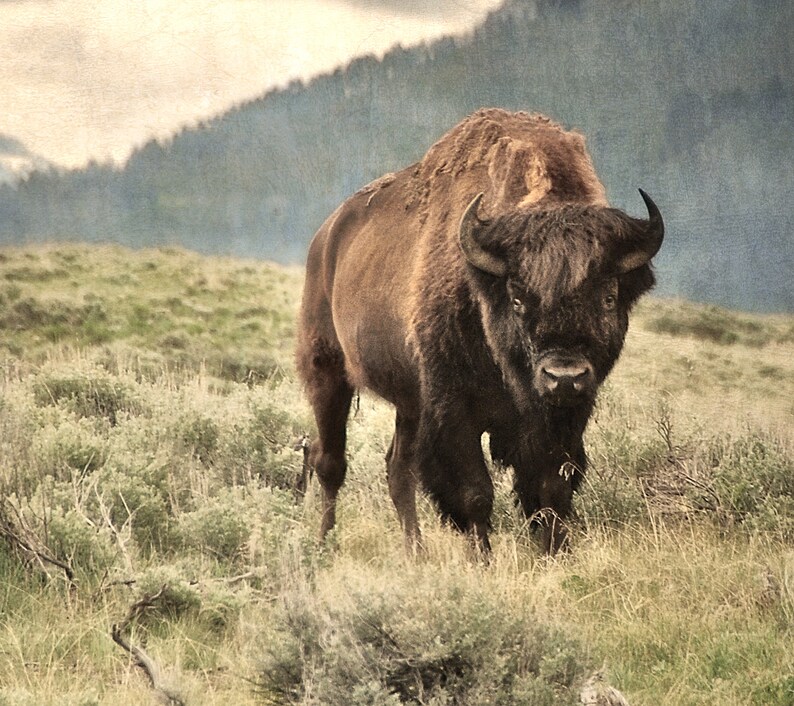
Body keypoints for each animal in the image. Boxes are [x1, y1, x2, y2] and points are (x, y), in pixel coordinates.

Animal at [296, 109, 663, 553]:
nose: (563, 377)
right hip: (328, 371)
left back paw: (415, 553)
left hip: (410, 402)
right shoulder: (455, 410)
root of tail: (326, 237)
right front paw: (482, 560)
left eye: (609, 298)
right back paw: (323, 543)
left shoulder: (566, 417)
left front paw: (554, 554)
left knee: (398, 470)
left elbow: (551, 490)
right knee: (330, 461)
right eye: (517, 298)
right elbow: (475, 493)